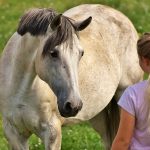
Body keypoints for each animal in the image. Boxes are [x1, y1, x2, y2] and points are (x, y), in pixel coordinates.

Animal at [0, 3, 143, 150]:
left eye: (81, 53)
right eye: (53, 53)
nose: (73, 105)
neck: (21, 90)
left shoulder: (52, 133)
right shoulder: (14, 134)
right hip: (98, 114)